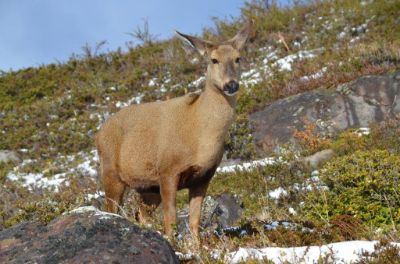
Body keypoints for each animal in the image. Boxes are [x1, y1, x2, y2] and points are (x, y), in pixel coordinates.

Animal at [94, 21, 253, 238]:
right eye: (213, 60)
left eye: (238, 58)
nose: (231, 84)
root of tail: (98, 134)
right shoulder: (168, 170)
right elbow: (171, 220)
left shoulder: (204, 176)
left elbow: (194, 222)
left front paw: (197, 246)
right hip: (111, 172)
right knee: (112, 210)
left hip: (147, 187)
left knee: (140, 213)